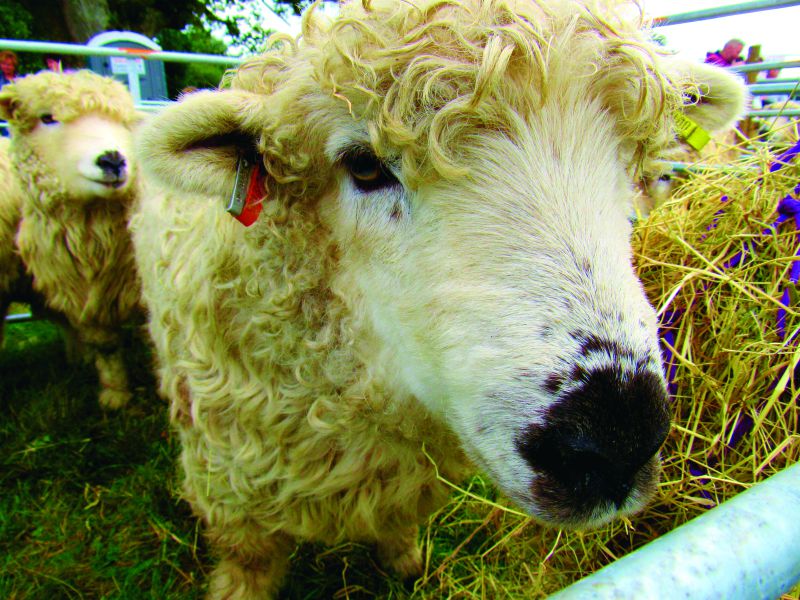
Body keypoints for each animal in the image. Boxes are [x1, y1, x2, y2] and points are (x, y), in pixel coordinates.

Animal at [0, 70, 141, 409]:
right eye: (47, 118)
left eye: (123, 122)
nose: (112, 159)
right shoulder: (75, 286)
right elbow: (104, 344)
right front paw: (115, 394)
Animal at [131, 1, 747, 597]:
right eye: (363, 165)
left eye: (629, 163)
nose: (616, 436)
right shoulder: (234, 495)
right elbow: (249, 564)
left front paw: (406, 562)